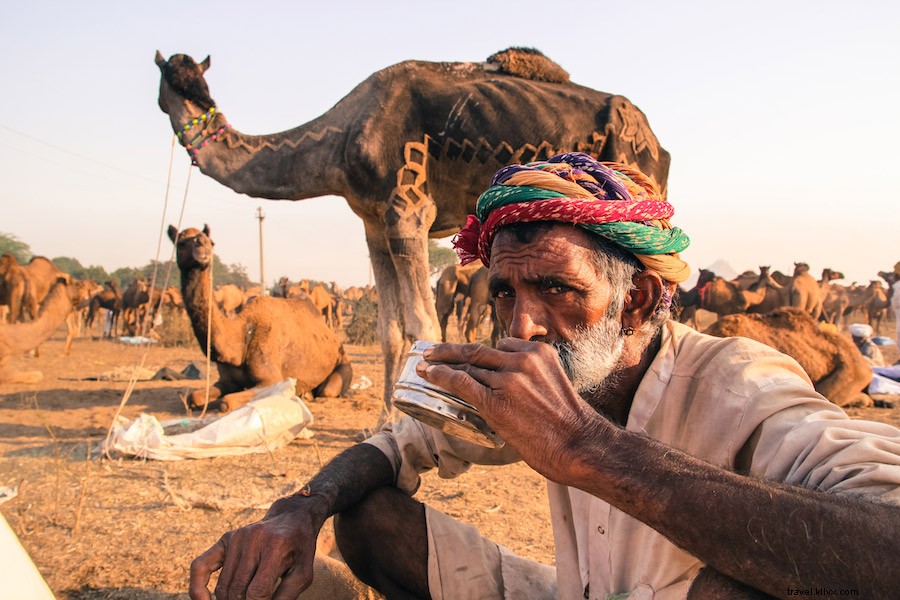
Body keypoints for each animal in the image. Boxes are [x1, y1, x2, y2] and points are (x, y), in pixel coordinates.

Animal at [169, 225, 352, 412]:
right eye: (181, 243)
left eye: (211, 242)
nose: (203, 249)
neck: (241, 335)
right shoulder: (227, 381)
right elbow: (194, 397)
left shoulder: (272, 379)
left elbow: (226, 402)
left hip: (342, 365)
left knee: (327, 390)